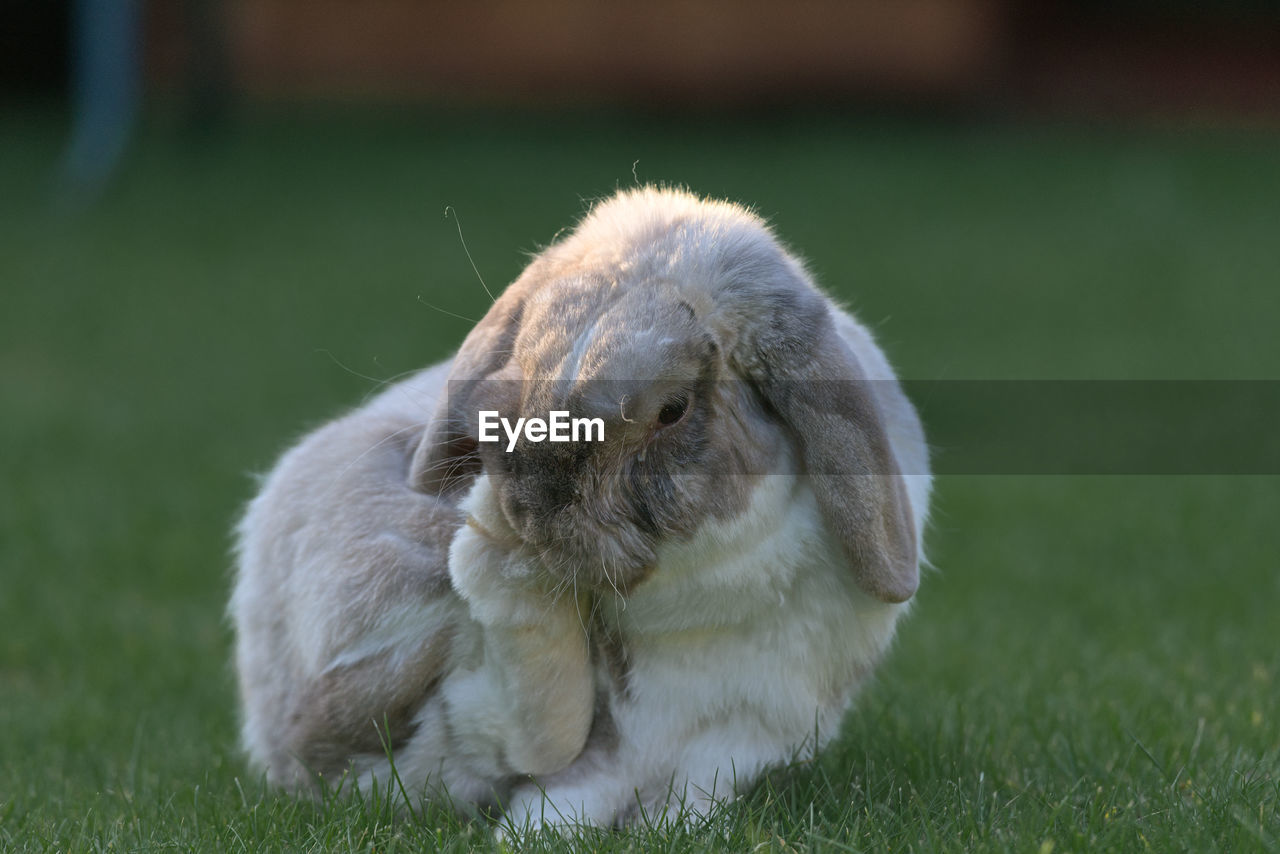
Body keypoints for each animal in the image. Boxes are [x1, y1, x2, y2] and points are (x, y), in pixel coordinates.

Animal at [230, 185, 931, 829]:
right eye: (518, 370)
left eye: (673, 409)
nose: (532, 511)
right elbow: (554, 764)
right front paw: (534, 834)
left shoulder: (741, 730)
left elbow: (682, 788)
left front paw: (667, 828)